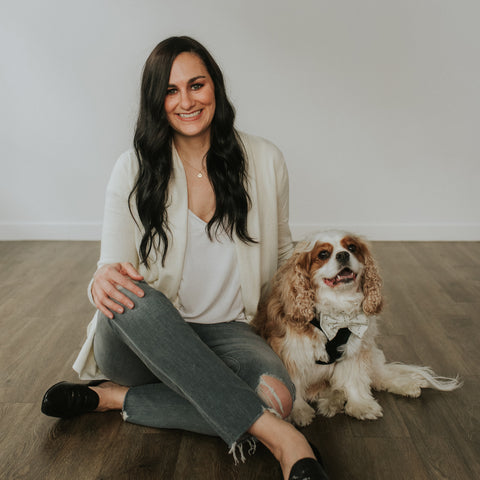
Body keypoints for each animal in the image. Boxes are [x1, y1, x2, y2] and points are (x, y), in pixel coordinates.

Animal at [251, 231, 462, 426]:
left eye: (352, 248)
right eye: (323, 254)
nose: (343, 255)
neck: (337, 309)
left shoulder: (354, 350)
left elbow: (355, 380)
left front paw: (361, 405)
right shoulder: (292, 353)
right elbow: (294, 386)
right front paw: (299, 412)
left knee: (381, 375)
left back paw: (406, 385)